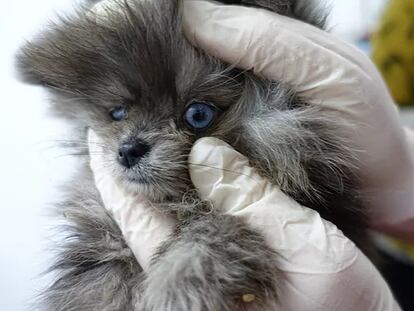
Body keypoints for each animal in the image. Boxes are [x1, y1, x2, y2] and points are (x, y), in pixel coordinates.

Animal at [16, 0, 374, 311]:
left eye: (198, 114)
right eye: (117, 113)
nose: (128, 149)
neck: (179, 203)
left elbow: (211, 230)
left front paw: (181, 282)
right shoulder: (103, 241)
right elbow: (100, 282)